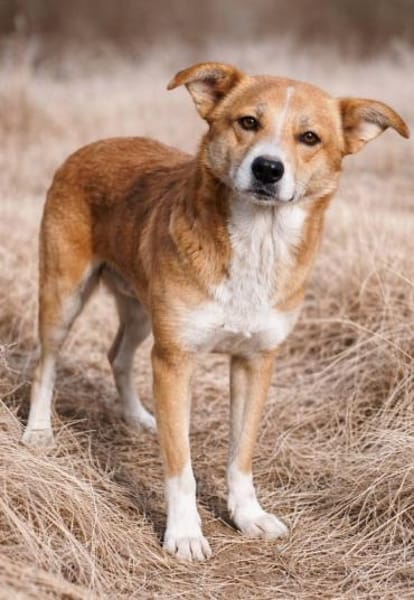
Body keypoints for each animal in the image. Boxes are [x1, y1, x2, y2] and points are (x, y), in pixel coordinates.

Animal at [22, 62, 409, 561]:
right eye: (248, 122)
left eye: (309, 137)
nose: (268, 168)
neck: (258, 241)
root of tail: (95, 144)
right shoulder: (175, 361)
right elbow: (180, 467)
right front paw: (185, 533)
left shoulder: (255, 362)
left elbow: (241, 454)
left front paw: (248, 515)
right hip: (64, 295)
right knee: (46, 363)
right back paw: (38, 431)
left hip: (142, 312)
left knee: (118, 356)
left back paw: (137, 417)